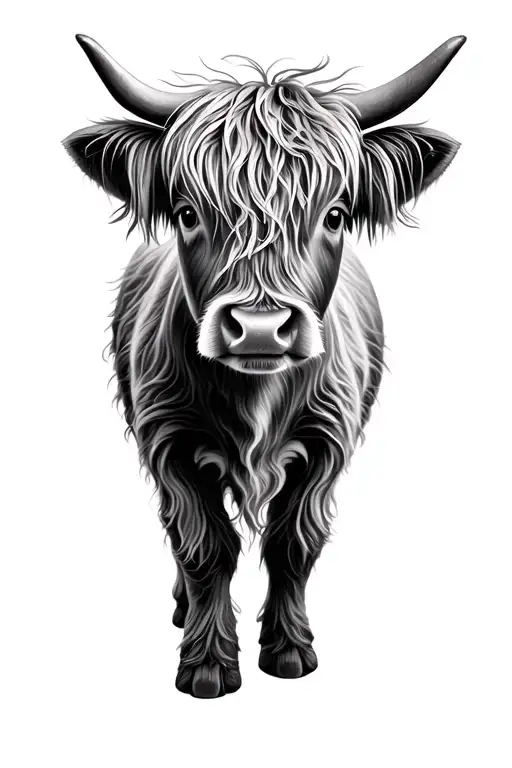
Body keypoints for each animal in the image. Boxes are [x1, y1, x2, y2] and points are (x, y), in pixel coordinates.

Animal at [64, 34, 466, 698]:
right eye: (187, 212)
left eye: (335, 215)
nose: (258, 327)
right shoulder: (168, 442)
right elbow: (205, 546)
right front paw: (206, 665)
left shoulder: (327, 444)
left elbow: (292, 544)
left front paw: (289, 652)